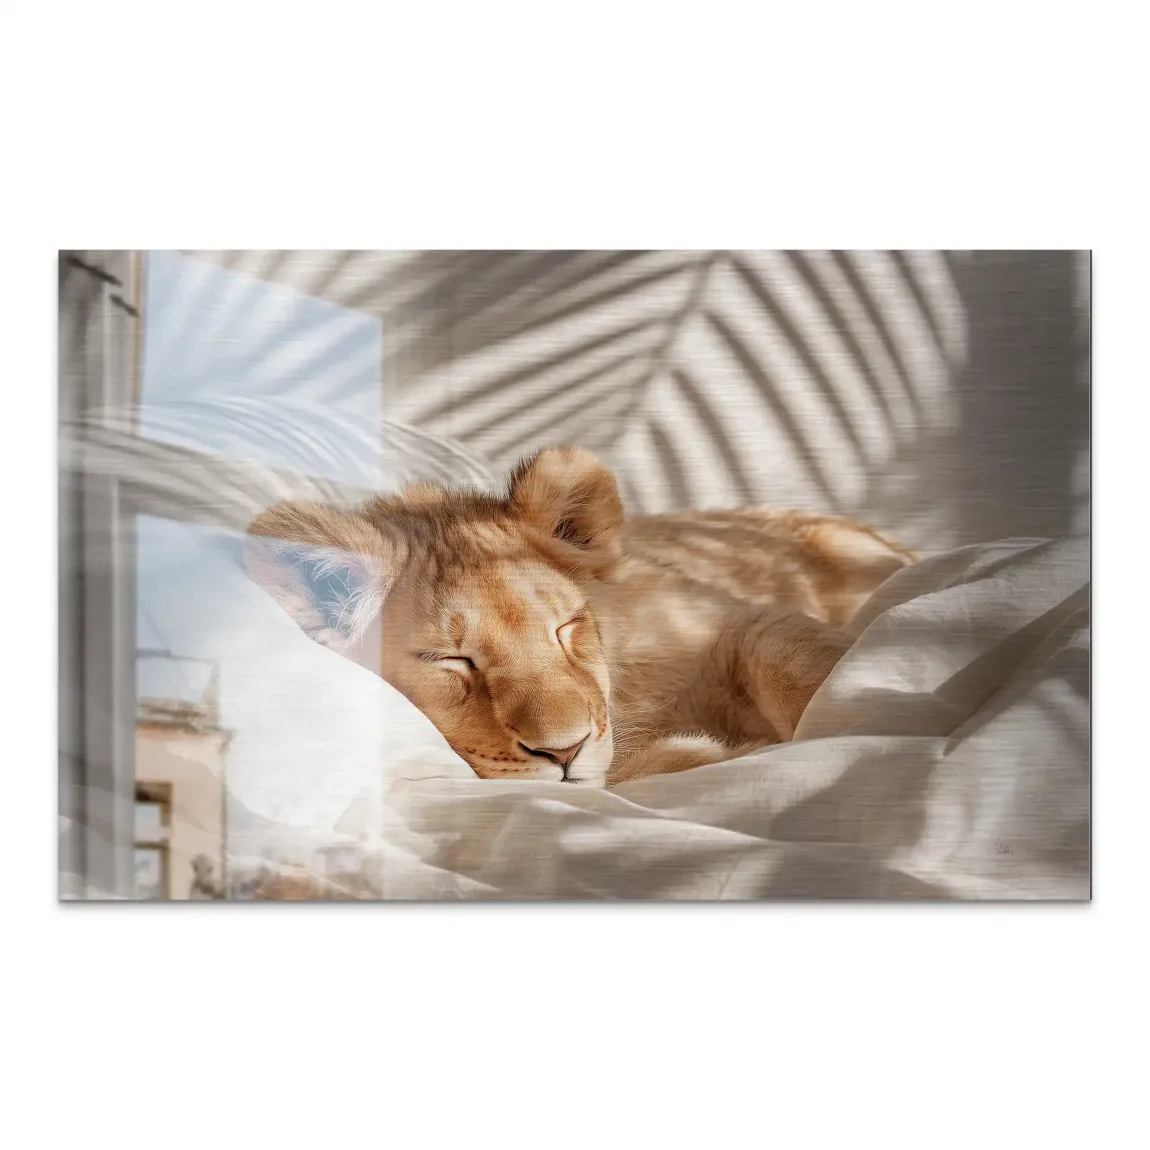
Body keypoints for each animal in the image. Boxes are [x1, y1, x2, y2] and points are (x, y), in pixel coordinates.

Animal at [244, 446, 917, 787]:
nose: (563, 752)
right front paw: (714, 754)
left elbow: (792, 657)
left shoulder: (722, 619)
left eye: (565, 629)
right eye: (452, 661)